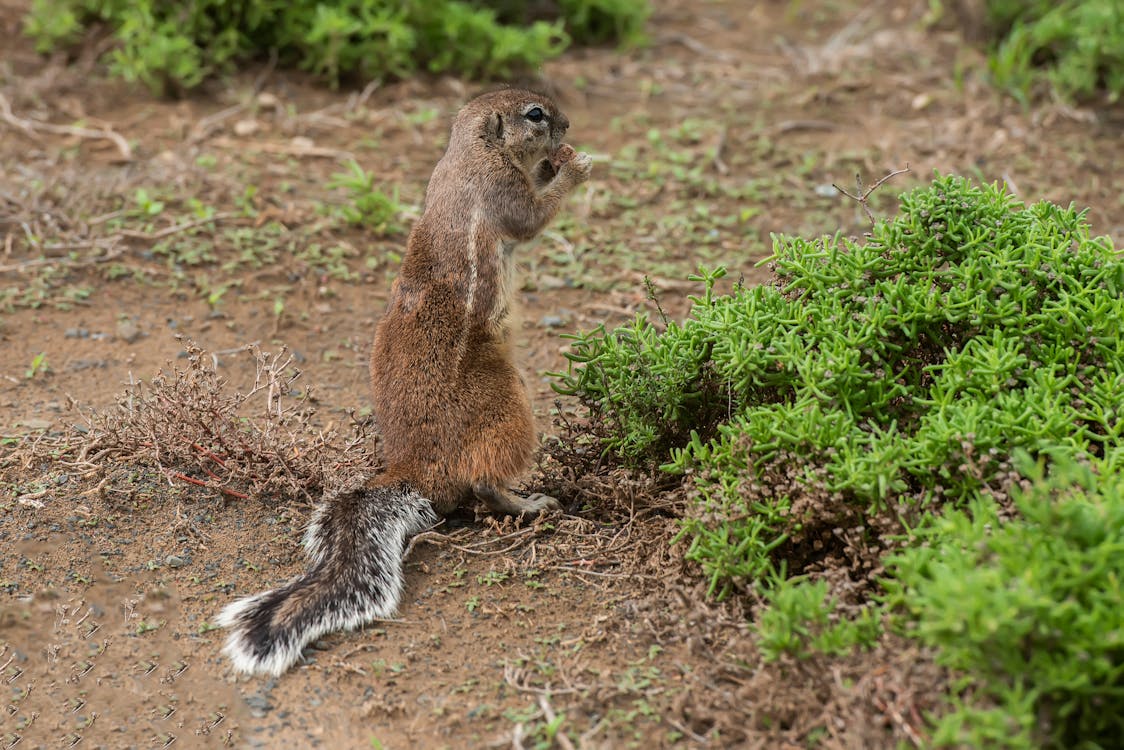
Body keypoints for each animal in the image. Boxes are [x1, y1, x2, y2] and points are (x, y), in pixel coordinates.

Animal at [213, 88, 593, 674]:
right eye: (535, 115)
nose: (569, 125)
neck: (470, 154)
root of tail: (411, 467)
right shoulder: (502, 194)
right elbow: (533, 217)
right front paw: (573, 164)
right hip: (510, 405)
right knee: (484, 483)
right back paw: (530, 504)